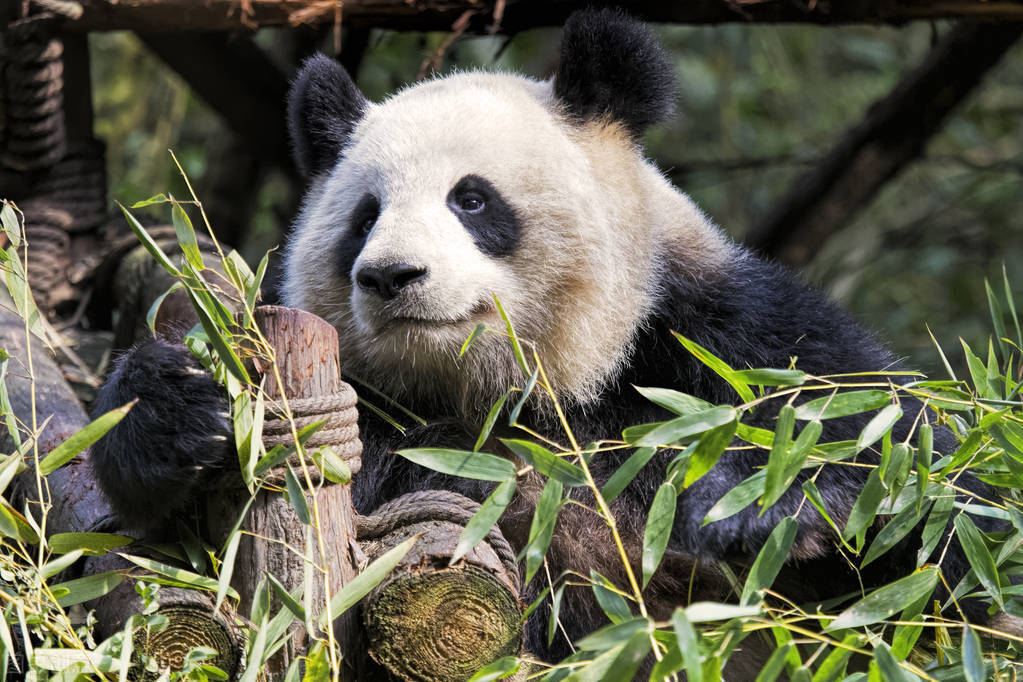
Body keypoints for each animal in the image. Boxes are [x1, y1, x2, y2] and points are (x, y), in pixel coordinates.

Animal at [94, 7, 1006, 674]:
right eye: (363, 216)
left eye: (470, 200)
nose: (390, 275)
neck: (519, 396)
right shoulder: (389, 415)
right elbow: (167, 561)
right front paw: (173, 411)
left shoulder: (719, 342)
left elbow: (939, 513)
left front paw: (778, 506)